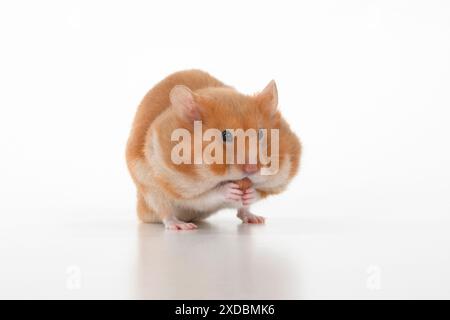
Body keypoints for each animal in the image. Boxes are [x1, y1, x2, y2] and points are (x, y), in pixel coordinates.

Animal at [125, 70, 302, 230]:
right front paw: (229, 190)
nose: (252, 169)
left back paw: (256, 219)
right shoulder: (178, 184)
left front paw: (250, 192)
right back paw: (182, 225)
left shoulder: (280, 178)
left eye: (260, 134)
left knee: (242, 211)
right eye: (225, 135)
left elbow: (261, 191)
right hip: (151, 193)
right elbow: (206, 196)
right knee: (165, 213)